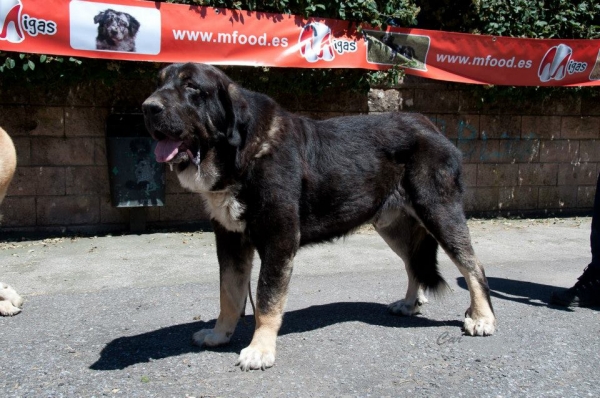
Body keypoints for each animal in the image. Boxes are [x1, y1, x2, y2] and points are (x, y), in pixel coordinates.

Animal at [142, 62, 496, 370]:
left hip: (438, 211)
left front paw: (260, 349)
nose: (147, 108)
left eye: (191, 87)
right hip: (392, 225)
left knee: (472, 265)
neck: (241, 153)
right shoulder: (230, 240)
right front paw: (220, 334)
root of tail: (431, 125)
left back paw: (482, 318)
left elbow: (266, 299)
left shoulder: (279, 240)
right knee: (413, 264)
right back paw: (409, 304)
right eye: (159, 83)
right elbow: (229, 294)